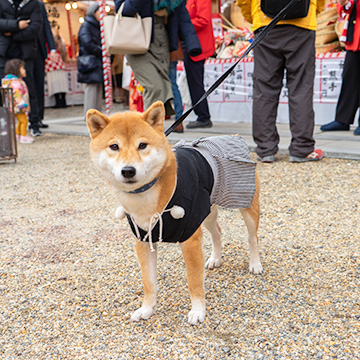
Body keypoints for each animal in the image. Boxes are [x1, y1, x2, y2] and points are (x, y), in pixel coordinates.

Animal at [87, 101, 262, 326]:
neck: (146, 197)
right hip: (207, 212)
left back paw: (255, 263)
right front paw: (146, 309)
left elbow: (194, 281)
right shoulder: (144, 240)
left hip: (245, 203)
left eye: (142, 145)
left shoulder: (190, 238)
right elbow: (149, 283)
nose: (128, 170)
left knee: (252, 237)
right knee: (217, 233)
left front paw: (198, 311)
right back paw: (215, 259)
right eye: (114, 147)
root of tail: (232, 136)